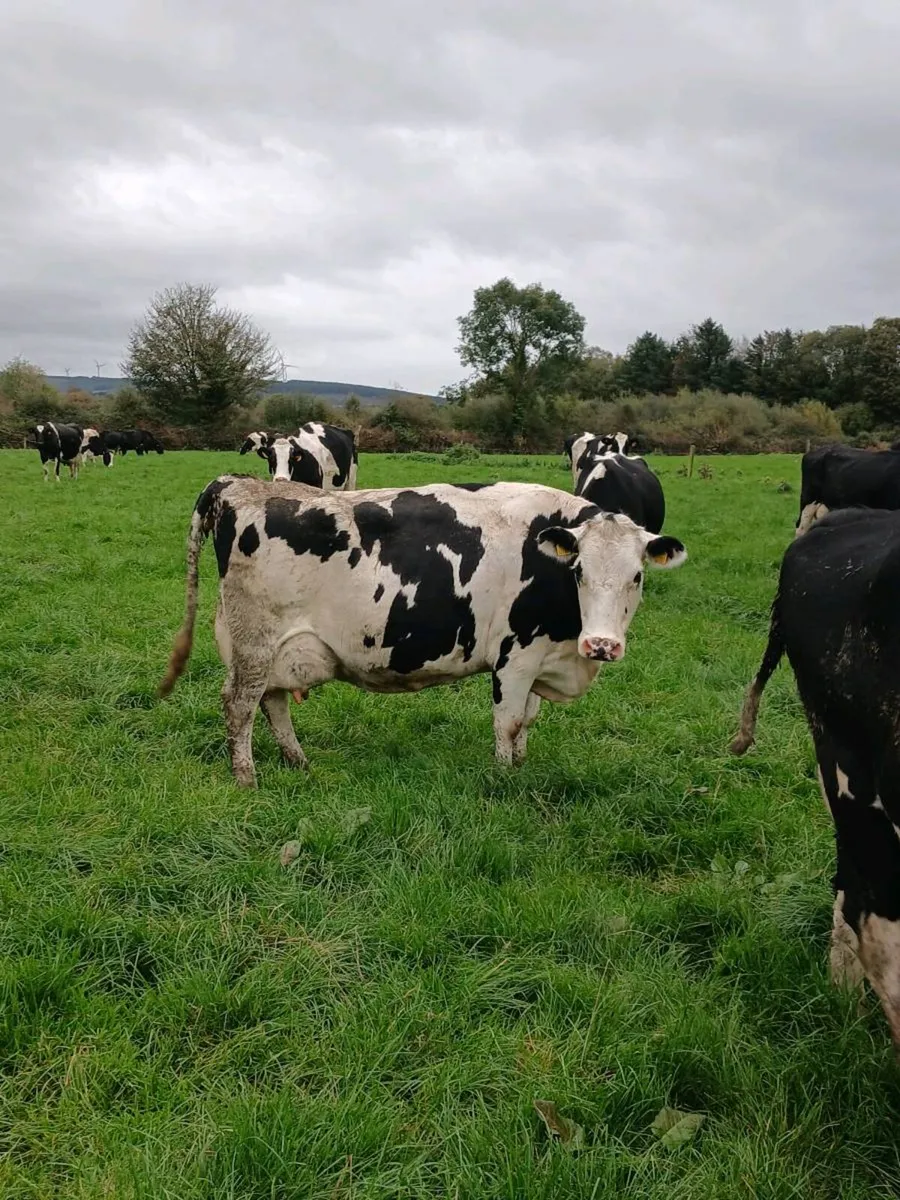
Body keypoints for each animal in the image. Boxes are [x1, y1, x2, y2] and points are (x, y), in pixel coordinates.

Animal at [158, 475, 687, 787]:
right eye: (578, 572)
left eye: (636, 576)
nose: (602, 645)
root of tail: (236, 482)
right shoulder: (515, 656)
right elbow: (508, 722)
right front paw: (505, 782)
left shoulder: (542, 656)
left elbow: (527, 723)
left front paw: (521, 767)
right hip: (255, 639)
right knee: (240, 704)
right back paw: (246, 778)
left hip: (277, 647)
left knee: (273, 701)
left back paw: (298, 762)